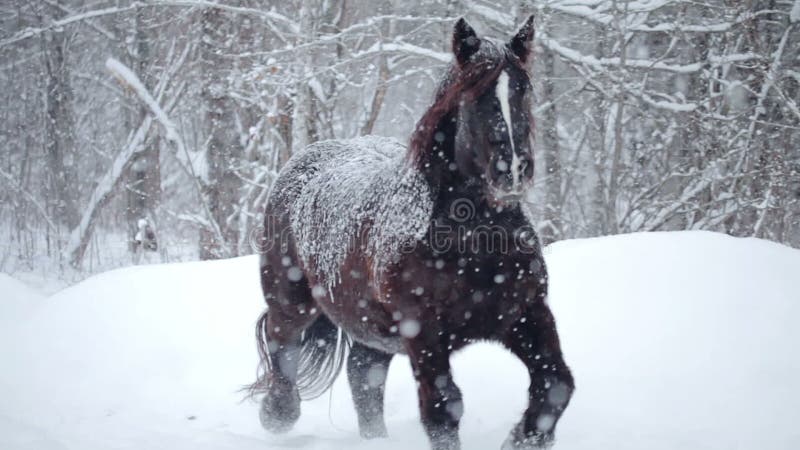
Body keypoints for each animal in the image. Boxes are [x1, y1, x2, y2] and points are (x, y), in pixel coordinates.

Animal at [247, 14, 572, 450]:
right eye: (475, 96)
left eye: (523, 90)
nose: (515, 170)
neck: (472, 243)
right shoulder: (424, 333)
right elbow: (443, 408)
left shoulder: (525, 314)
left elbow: (556, 384)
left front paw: (523, 437)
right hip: (292, 303)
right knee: (284, 352)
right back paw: (277, 414)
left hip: (370, 325)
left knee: (363, 375)